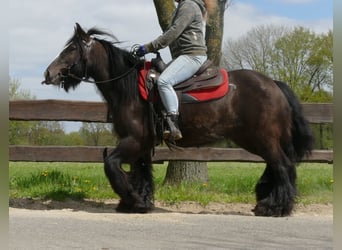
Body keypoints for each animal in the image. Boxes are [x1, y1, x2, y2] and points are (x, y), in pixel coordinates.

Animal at [42, 22, 312, 216]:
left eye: (71, 49)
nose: (48, 73)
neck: (129, 87)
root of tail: (274, 84)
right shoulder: (141, 144)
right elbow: (141, 172)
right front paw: (139, 202)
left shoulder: (132, 140)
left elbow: (112, 165)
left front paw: (131, 198)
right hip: (257, 140)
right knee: (277, 166)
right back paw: (266, 202)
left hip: (262, 139)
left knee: (283, 166)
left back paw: (275, 208)